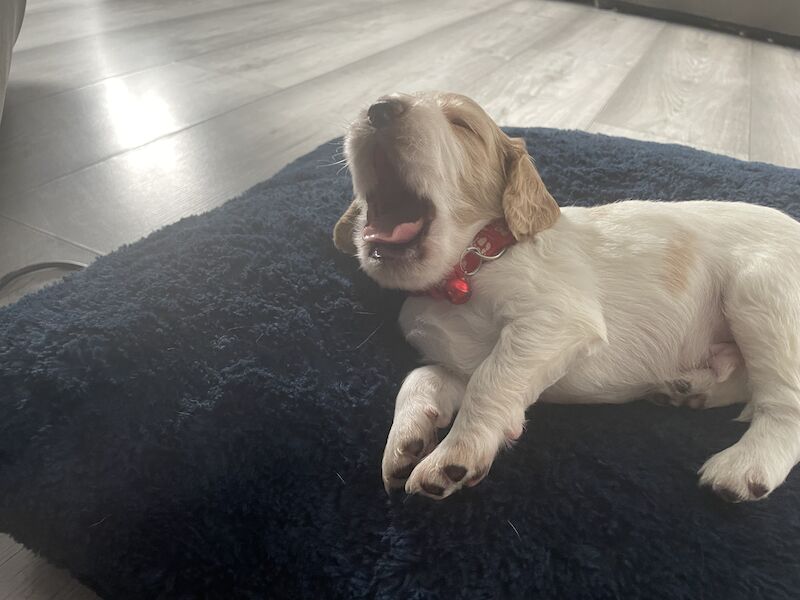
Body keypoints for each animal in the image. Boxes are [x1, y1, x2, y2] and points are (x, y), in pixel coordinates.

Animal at [332, 90, 800, 502]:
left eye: (461, 123)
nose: (380, 108)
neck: (466, 268)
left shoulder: (555, 320)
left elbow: (490, 380)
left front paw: (453, 457)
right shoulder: (460, 357)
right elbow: (424, 377)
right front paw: (406, 440)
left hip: (763, 299)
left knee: (783, 403)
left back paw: (745, 466)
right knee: (749, 384)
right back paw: (690, 388)